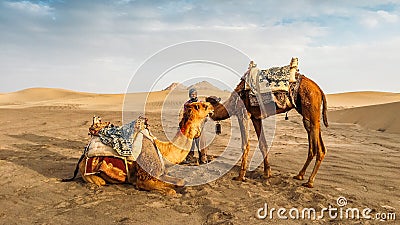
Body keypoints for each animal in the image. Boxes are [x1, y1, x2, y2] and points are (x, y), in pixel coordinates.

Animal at [65, 102, 214, 195]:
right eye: (200, 106)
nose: (212, 106)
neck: (162, 150)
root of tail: (83, 155)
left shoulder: (160, 172)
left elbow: (181, 181)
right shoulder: (144, 178)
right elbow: (170, 191)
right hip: (90, 173)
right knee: (100, 181)